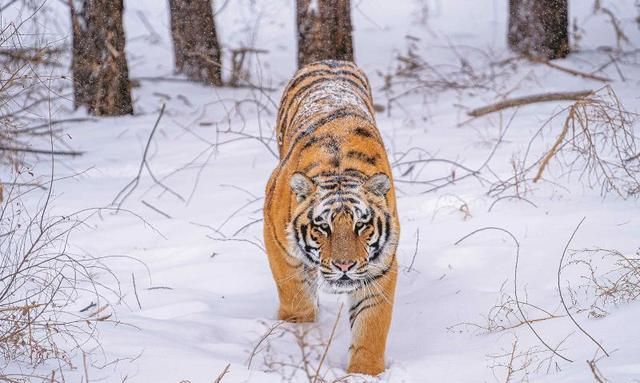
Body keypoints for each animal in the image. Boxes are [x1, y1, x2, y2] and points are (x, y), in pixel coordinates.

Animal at [262, 59, 398, 376]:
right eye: (322, 226)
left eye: (361, 225)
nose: (344, 266)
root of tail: (330, 60)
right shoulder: (277, 242)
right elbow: (294, 292)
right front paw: (298, 330)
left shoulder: (381, 267)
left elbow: (371, 326)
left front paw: (364, 373)